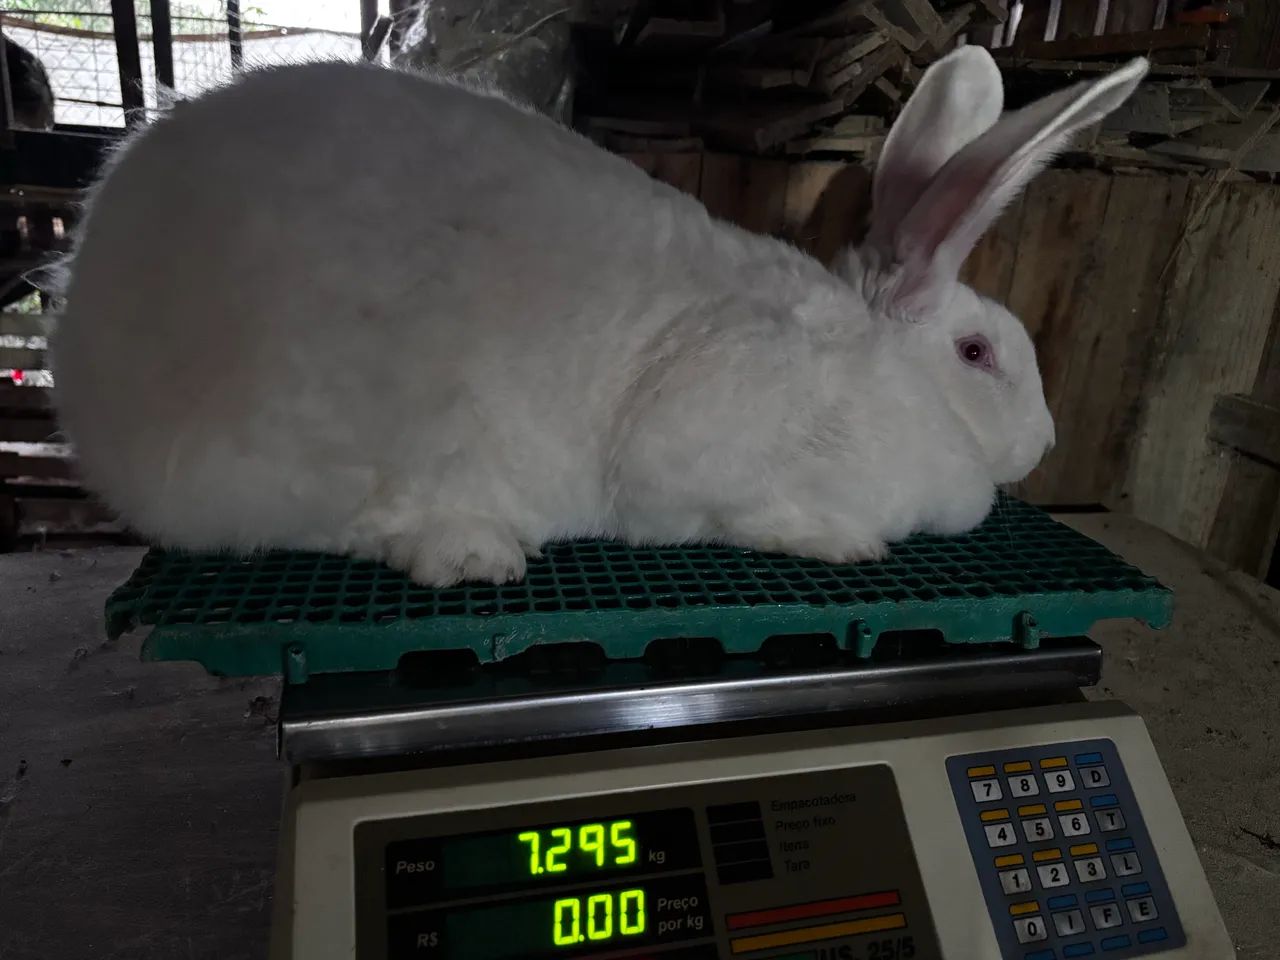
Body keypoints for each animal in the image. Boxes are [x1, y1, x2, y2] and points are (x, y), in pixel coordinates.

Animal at [51, 47, 1147, 587]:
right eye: (978, 353)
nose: (1045, 442)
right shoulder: (701, 437)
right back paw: (469, 550)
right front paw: (842, 545)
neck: (886, 371)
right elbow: (735, 505)